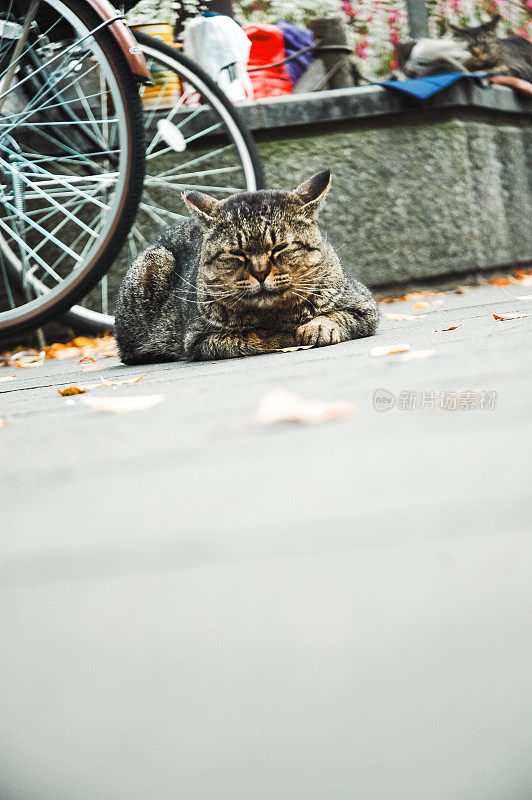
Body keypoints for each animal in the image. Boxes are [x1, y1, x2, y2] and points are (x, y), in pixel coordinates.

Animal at [116, 173, 378, 368]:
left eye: (280, 247)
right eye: (236, 254)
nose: (260, 273)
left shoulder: (365, 306)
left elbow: (338, 315)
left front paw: (317, 327)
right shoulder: (200, 340)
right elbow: (256, 337)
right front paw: (289, 334)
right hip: (156, 261)